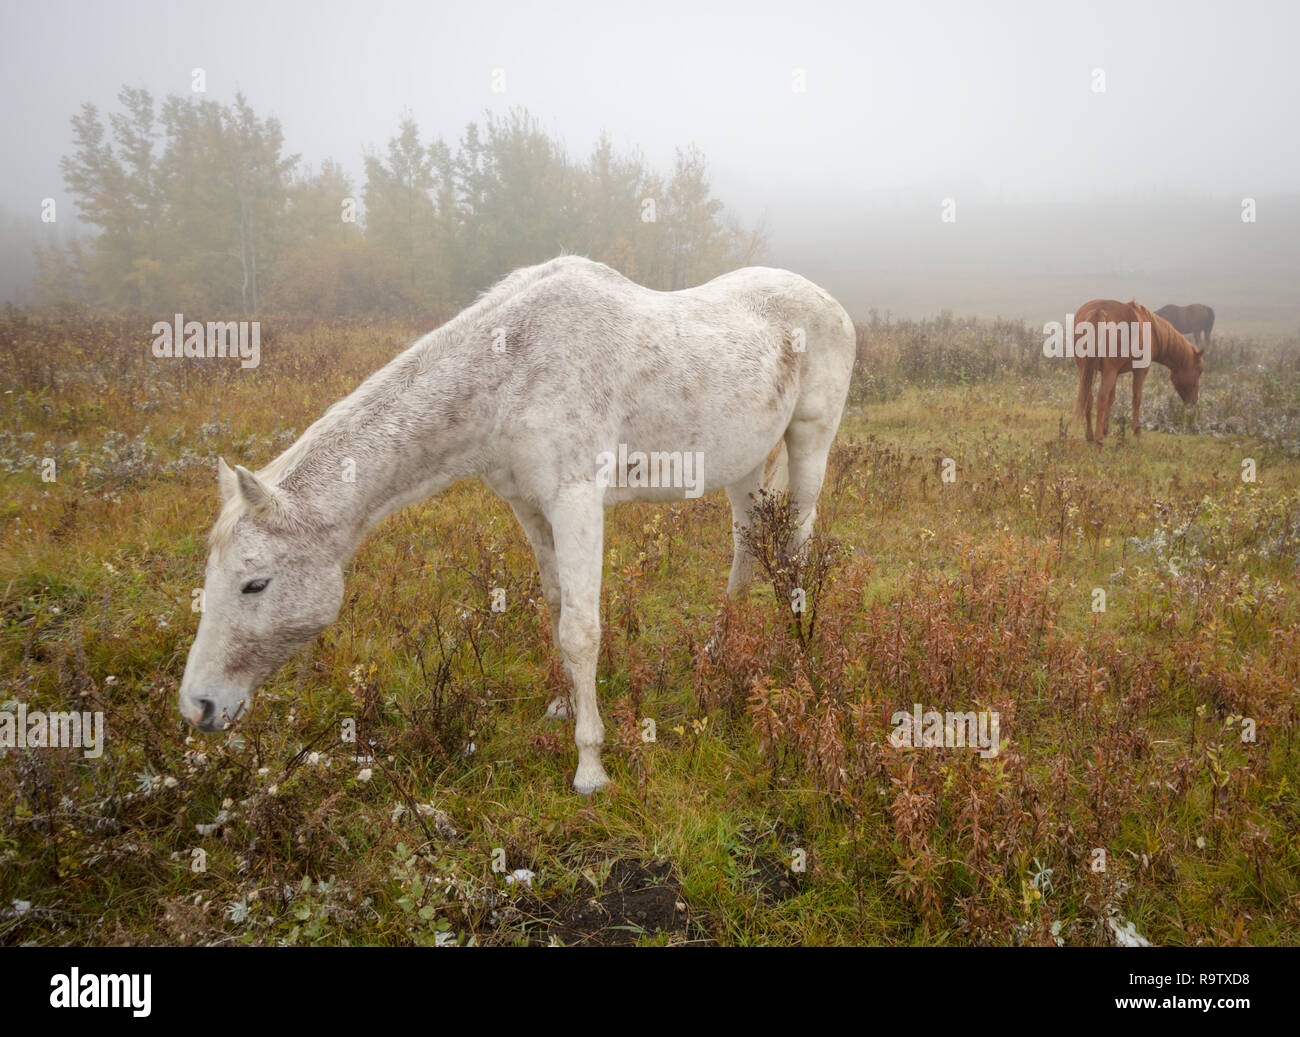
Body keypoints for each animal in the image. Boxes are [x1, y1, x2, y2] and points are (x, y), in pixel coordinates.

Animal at [178, 256, 857, 790]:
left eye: (255, 584)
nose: (198, 707)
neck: (509, 371)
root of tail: (829, 302)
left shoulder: (576, 500)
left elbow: (581, 629)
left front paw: (590, 766)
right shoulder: (529, 506)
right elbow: (556, 608)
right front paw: (562, 705)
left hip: (809, 443)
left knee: (795, 549)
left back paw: (796, 655)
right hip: (744, 462)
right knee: (746, 550)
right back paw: (720, 650)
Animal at [1071, 298, 1201, 449]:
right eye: (1198, 372)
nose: (1193, 401)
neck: (1153, 331)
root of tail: (1098, 311)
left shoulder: (1113, 373)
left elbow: (1111, 398)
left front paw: (1105, 429)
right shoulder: (1140, 371)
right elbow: (1136, 399)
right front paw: (1137, 431)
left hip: (1086, 370)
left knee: (1089, 397)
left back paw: (1090, 436)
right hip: (1106, 371)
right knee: (1101, 397)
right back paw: (1098, 440)